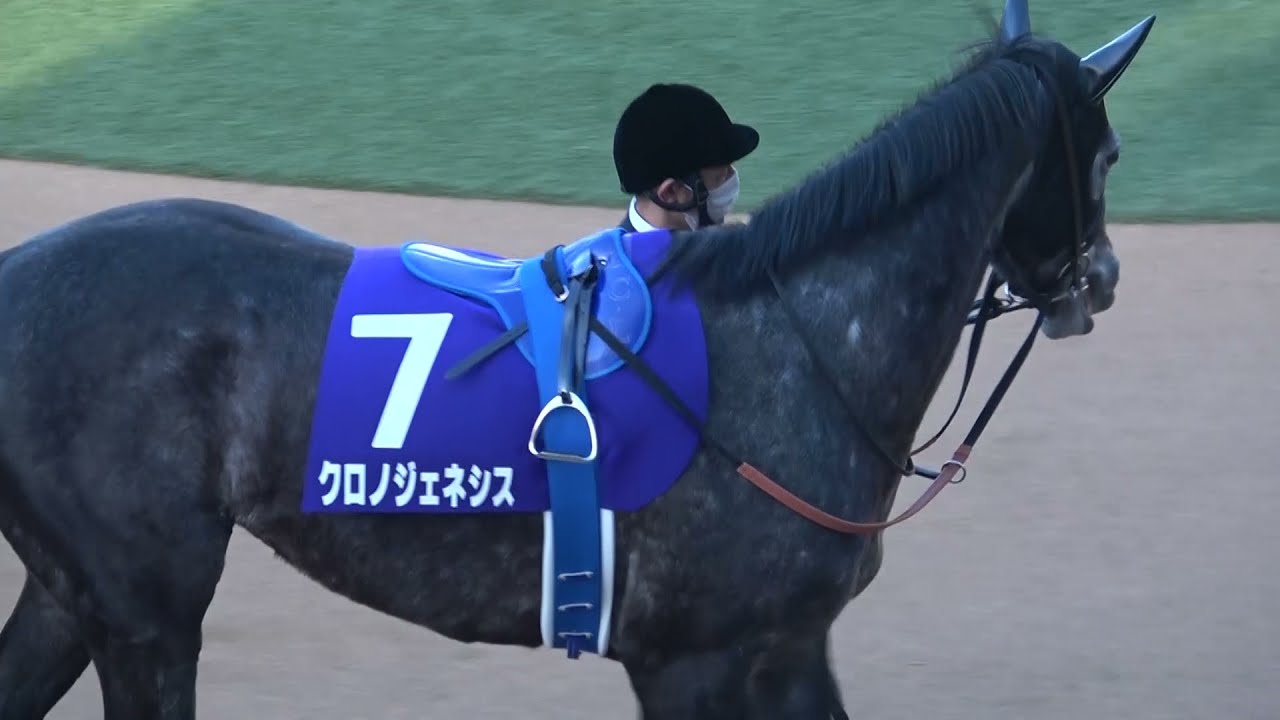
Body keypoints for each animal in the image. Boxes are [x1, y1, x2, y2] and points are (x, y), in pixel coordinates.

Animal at [0, 1, 1154, 717]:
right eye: (1105, 154)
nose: (1097, 279)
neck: (793, 343)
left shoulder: (788, 647)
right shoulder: (688, 661)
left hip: (77, 598)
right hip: (146, 614)